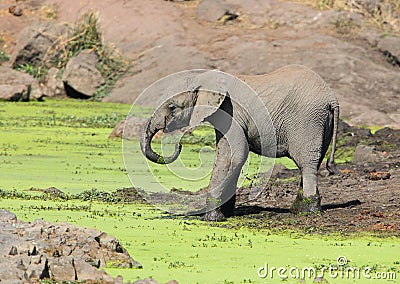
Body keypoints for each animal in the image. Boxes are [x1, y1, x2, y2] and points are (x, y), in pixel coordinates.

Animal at [139, 65, 340, 222]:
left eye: (172, 107)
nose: (178, 144)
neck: (203, 78)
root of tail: (332, 98)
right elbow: (230, 155)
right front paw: (225, 213)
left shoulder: (230, 112)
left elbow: (232, 156)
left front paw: (212, 218)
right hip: (323, 122)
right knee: (315, 160)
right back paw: (297, 209)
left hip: (308, 121)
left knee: (307, 162)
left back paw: (307, 212)